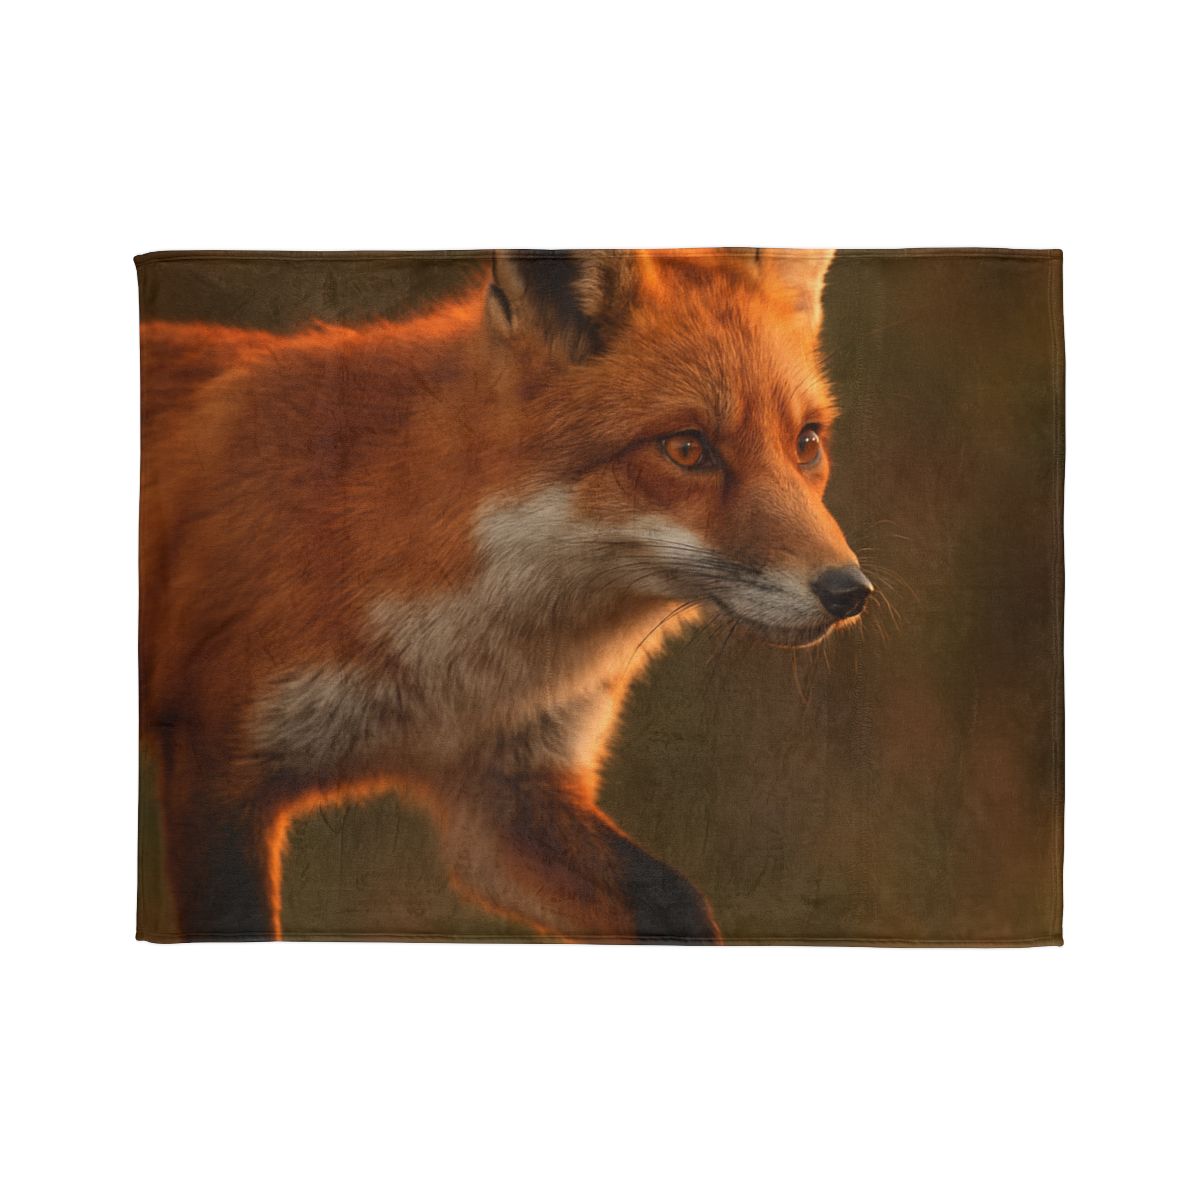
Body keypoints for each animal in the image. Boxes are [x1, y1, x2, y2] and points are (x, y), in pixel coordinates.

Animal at [138, 248, 873, 943]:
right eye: (687, 449)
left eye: (806, 443)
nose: (850, 592)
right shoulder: (218, 767)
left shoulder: (503, 798)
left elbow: (673, 902)